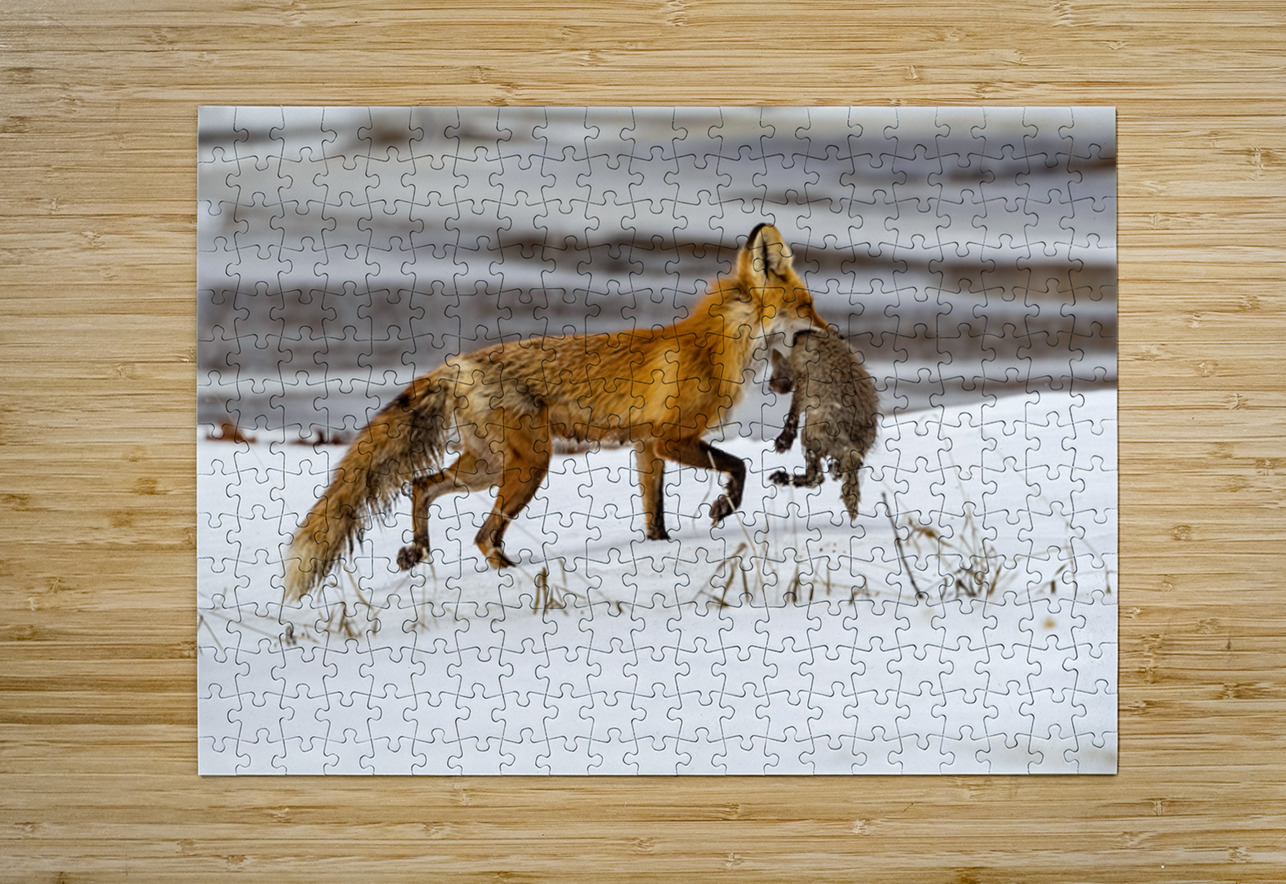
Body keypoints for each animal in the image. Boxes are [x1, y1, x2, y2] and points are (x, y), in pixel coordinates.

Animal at [284, 224, 829, 601]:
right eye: (806, 308)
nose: (832, 334)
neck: (715, 348)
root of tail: (455, 365)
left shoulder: (646, 447)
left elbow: (654, 515)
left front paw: (660, 549)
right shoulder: (670, 436)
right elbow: (739, 468)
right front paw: (723, 507)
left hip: (488, 466)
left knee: (421, 486)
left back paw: (419, 550)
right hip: (529, 465)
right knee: (481, 536)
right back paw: (514, 579)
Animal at [767, 327, 879, 521]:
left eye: (774, 365)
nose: (770, 386)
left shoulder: (803, 383)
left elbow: (793, 413)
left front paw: (784, 440)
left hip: (809, 434)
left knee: (816, 478)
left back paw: (782, 477)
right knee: (831, 475)